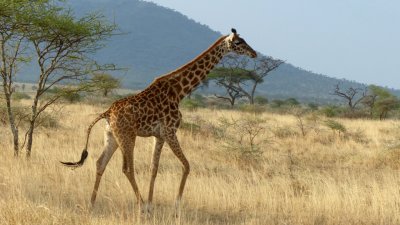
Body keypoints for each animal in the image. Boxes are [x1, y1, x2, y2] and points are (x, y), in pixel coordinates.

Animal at [61, 28, 258, 213]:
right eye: (239, 42)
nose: (254, 53)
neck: (179, 91)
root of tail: (107, 112)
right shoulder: (170, 131)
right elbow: (186, 166)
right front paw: (175, 206)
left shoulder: (159, 136)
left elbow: (154, 169)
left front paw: (151, 204)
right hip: (127, 137)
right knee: (127, 168)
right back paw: (139, 206)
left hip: (112, 136)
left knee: (100, 163)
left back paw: (91, 204)